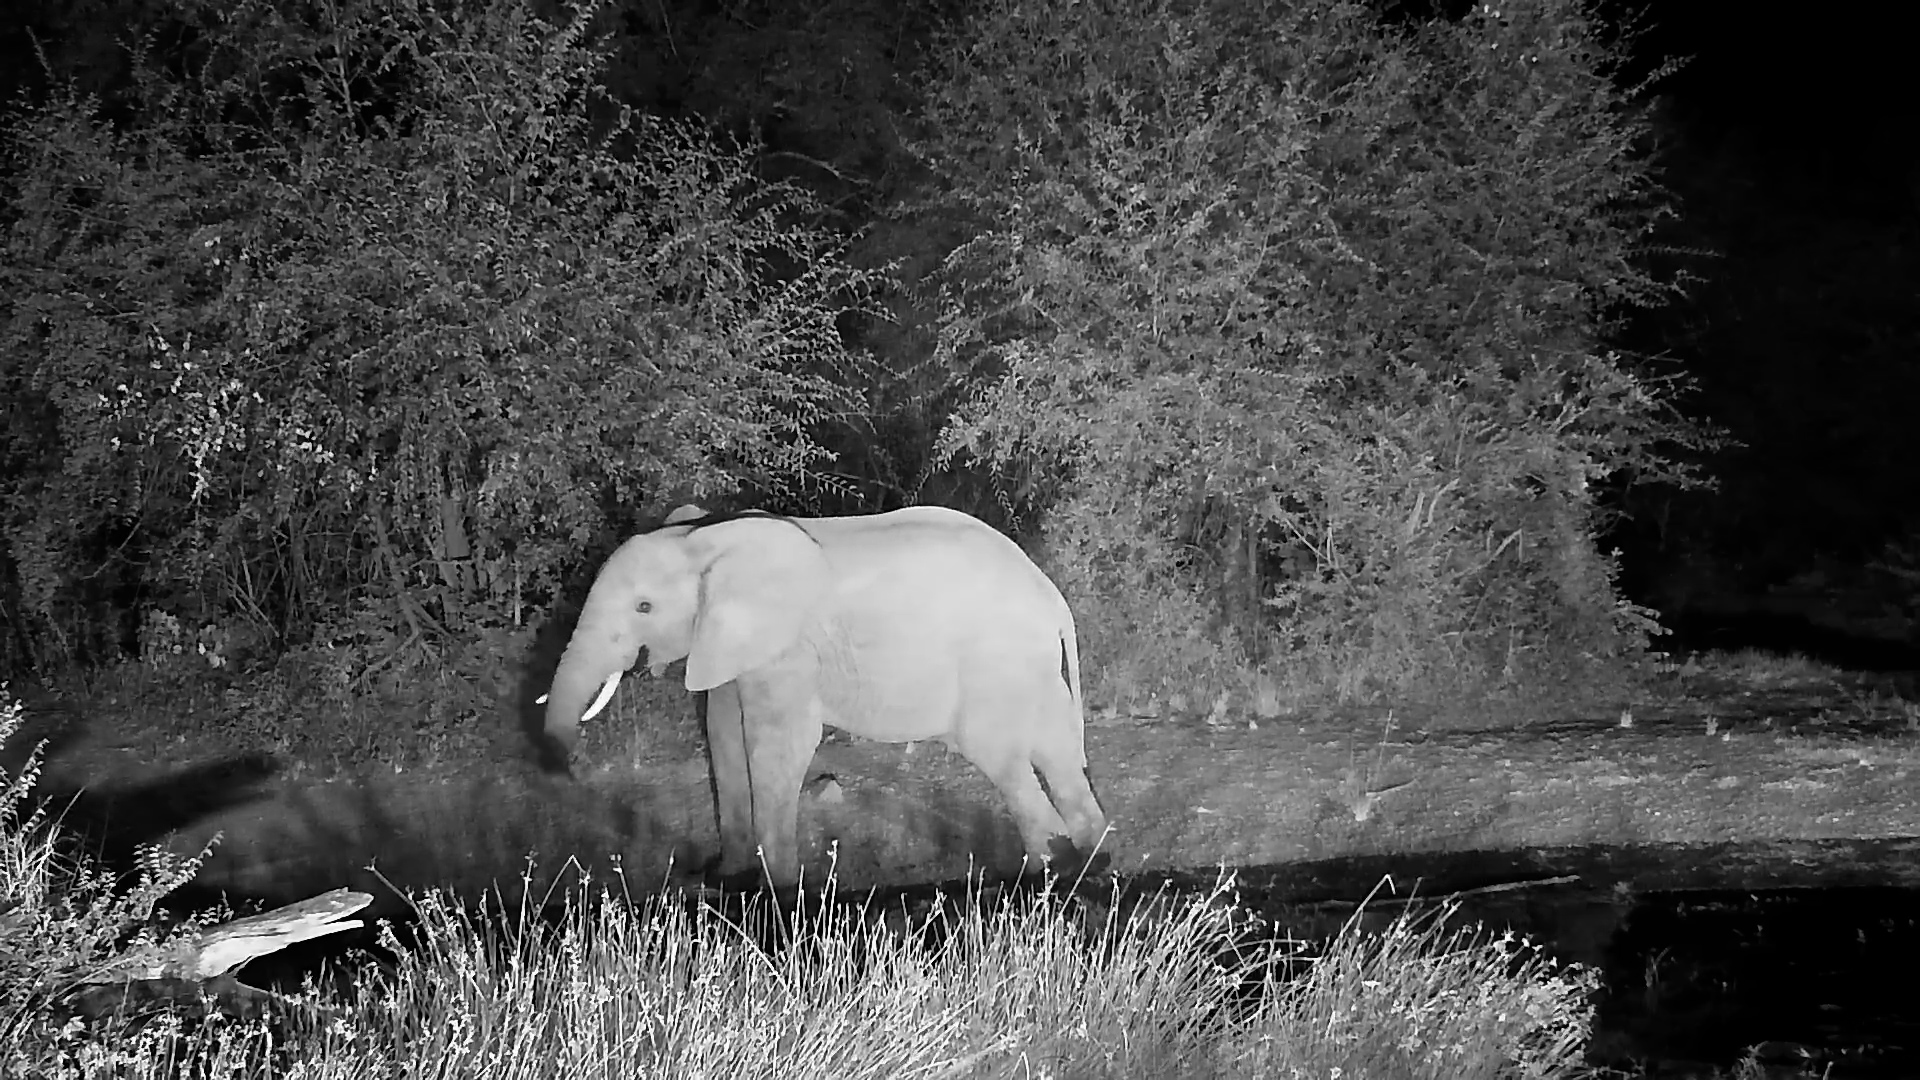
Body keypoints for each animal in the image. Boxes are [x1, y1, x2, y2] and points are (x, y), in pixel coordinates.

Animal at [540, 504, 1109, 888]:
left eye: (643, 607)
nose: (566, 763)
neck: (704, 539)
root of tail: (1051, 598)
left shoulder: (788, 649)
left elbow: (777, 744)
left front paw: (781, 893)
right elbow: (723, 734)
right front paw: (727, 877)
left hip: (994, 662)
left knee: (999, 755)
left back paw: (1043, 876)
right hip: (1031, 669)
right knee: (1054, 749)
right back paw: (1092, 860)